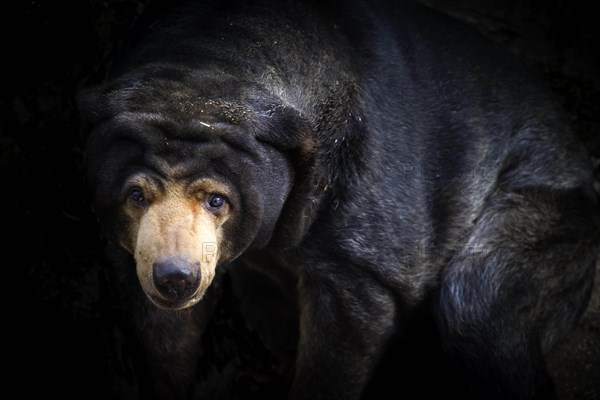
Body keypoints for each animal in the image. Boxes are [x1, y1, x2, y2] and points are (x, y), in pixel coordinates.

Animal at [78, 0, 600, 398]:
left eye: (217, 200)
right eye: (135, 194)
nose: (176, 278)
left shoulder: (362, 206)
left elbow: (354, 313)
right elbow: (162, 334)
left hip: (544, 209)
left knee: (478, 303)